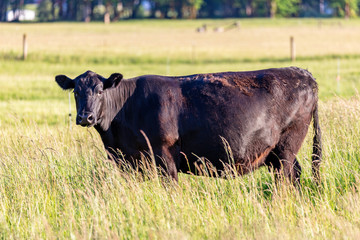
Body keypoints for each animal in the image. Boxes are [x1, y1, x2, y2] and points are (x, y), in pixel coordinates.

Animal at [57, 67, 324, 184]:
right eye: (76, 92)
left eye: (100, 90)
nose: (86, 117)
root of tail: (303, 73)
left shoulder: (164, 154)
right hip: (277, 152)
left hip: (287, 145)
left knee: (286, 178)